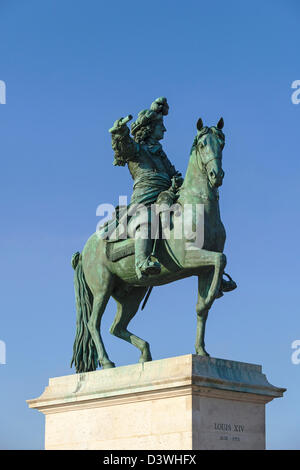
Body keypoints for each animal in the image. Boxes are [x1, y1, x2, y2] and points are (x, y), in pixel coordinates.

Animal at [70, 116, 229, 370]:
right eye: (203, 144)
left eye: (222, 143)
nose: (217, 175)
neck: (198, 206)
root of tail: (85, 250)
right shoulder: (188, 258)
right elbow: (220, 259)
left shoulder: (204, 269)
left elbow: (202, 307)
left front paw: (202, 350)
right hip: (102, 288)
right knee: (94, 324)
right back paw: (107, 362)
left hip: (132, 293)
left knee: (117, 327)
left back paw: (145, 353)